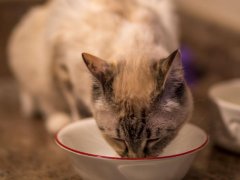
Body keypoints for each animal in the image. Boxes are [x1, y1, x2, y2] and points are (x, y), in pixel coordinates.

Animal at [8, 0, 194, 158]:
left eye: (153, 140)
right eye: (119, 140)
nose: (135, 159)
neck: (134, 44)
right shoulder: (61, 66)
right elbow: (73, 108)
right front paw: (74, 123)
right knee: (41, 99)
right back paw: (57, 119)